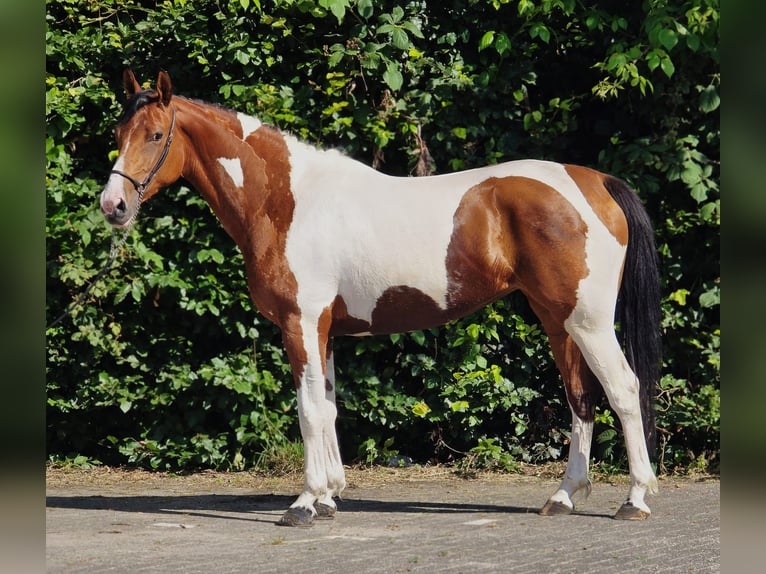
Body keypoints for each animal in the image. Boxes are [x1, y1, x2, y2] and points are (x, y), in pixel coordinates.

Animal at [100, 69, 661, 526]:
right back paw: (564, 497)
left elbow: (307, 411)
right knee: (580, 397)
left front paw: (304, 503)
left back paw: (634, 499)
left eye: (155, 135)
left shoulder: (301, 323)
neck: (285, 201)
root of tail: (594, 182)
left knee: (623, 389)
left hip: (588, 322)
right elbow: (327, 408)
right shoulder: (323, 330)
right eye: (118, 135)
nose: (113, 206)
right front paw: (329, 496)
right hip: (557, 319)